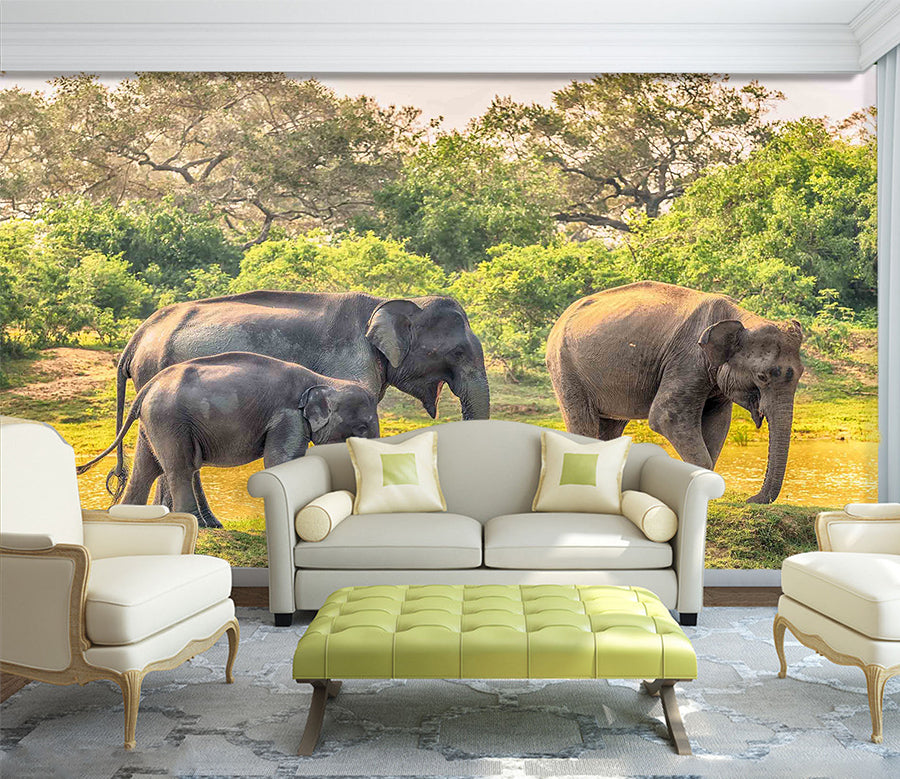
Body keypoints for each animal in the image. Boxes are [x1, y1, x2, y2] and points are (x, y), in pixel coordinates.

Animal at [78, 352, 380, 527]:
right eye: (362, 427)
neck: (323, 380)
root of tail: (149, 385)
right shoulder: (288, 416)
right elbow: (281, 461)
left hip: (153, 421)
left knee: (147, 468)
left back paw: (129, 517)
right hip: (170, 419)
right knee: (180, 468)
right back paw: (197, 523)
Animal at [546, 281, 804, 504]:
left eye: (800, 374)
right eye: (762, 377)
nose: (751, 500)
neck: (738, 316)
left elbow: (718, 424)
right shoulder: (688, 359)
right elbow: (666, 416)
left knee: (610, 426)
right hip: (565, 368)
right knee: (583, 422)